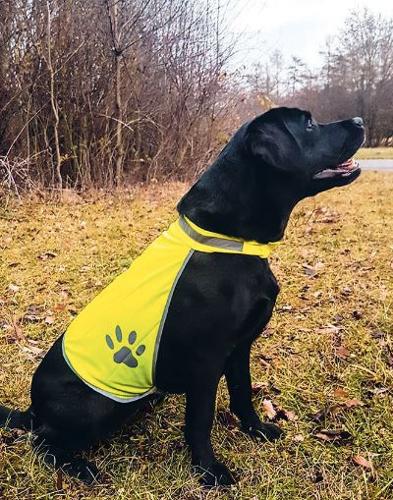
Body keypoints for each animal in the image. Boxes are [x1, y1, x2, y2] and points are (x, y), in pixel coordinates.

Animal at [0, 107, 362, 486]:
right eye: (308, 124)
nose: (359, 121)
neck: (230, 240)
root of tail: (32, 409)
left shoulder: (240, 348)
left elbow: (243, 394)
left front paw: (257, 430)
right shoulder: (207, 360)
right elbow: (200, 421)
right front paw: (209, 470)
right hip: (93, 408)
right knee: (42, 441)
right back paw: (79, 467)